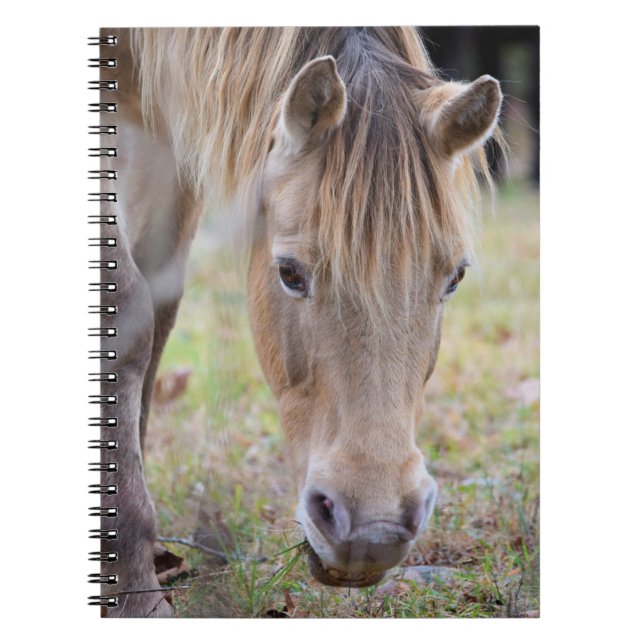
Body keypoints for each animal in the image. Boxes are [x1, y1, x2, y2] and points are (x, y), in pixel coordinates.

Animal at [96, 27, 502, 617]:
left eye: (454, 278)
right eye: (289, 272)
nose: (373, 530)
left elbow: (159, 311)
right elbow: (127, 311)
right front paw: (132, 590)